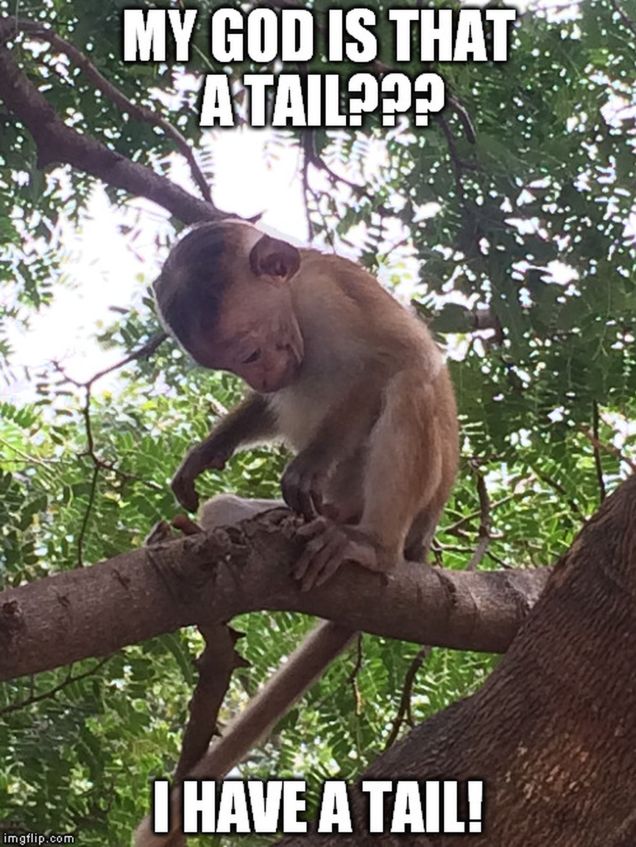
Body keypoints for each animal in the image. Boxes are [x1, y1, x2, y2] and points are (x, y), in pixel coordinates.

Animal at [135, 219, 458, 846]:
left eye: (250, 350)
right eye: (240, 366)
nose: (263, 373)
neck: (298, 305)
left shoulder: (332, 300)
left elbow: (386, 363)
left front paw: (308, 464)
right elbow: (268, 409)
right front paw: (208, 451)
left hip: (411, 512)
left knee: (410, 380)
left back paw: (371, 547)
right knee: (226, 511)